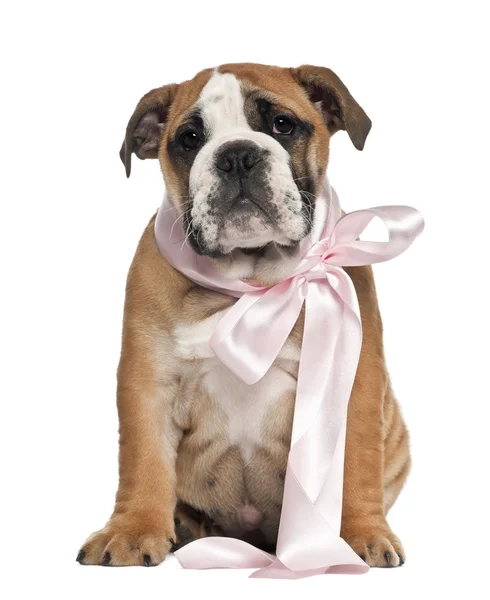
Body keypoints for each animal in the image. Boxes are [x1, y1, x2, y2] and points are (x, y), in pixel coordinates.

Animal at [76, 63, 410, 568]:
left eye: (282, 125)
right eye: (190, 138)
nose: (236, 155)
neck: (249, 281)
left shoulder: (353, 383)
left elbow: (356, 463)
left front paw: (359, 534)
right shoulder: (147, 384)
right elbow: (144, 462)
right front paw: (132, 530)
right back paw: (184, 524)